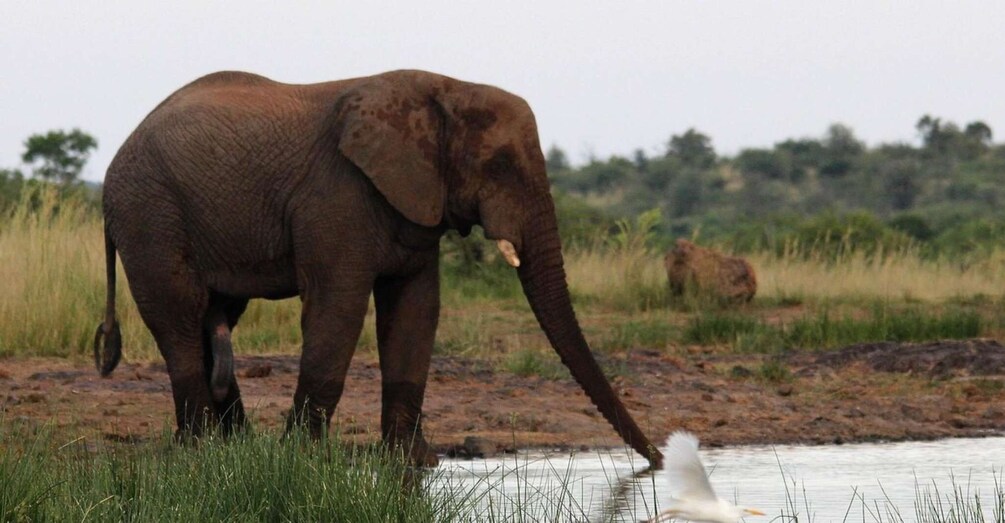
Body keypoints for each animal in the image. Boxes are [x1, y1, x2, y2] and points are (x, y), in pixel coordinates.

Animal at [93, 69, 663, 469]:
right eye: (499, 165)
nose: (657, 461)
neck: (444, 89)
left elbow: (415, 310)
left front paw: (415, 465)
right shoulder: (337, 195)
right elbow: (339, 307)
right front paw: (301, 459)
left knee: (217, 317)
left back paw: (237, 450)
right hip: (150, 215)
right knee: (181, 318)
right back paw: (202, 450)